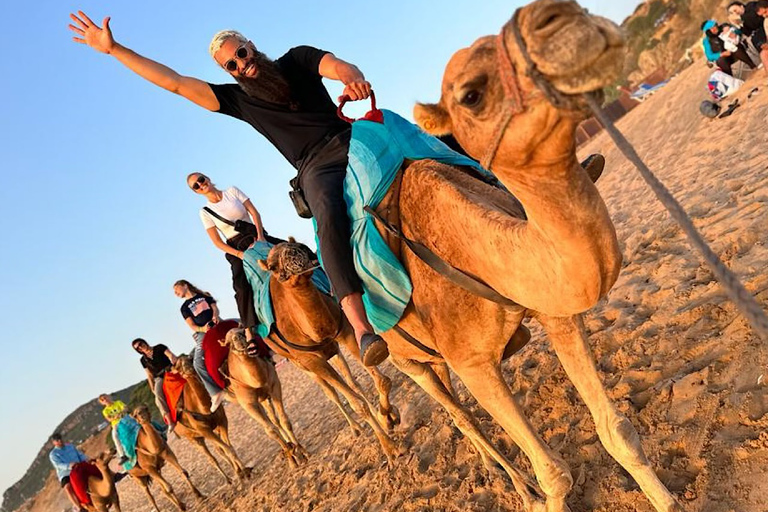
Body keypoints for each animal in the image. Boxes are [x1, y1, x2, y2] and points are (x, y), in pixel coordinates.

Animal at [170, 354, 249, 482]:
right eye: (178, 367)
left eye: (190, 359)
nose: (188, 369)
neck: (204, 408)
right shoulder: (204, 430)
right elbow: (227, 449)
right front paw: (243, 472)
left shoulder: (222, 422)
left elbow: (228, 447)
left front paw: (243, 470)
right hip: (193, 438)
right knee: (211, 457)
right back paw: (228, 480)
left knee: (218, 450)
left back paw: (235, 472)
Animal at [260, 249, 402, 464]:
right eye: (272, 266)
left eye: (291, 245)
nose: (294, 252)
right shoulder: (311, 361)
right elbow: (355, 403)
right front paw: (390, 448)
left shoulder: (345, 332)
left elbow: (380, 380)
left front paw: (387, 416)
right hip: (301, 365)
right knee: (331, 392)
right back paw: (355, 428)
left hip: (333, 350)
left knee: (353, 383)